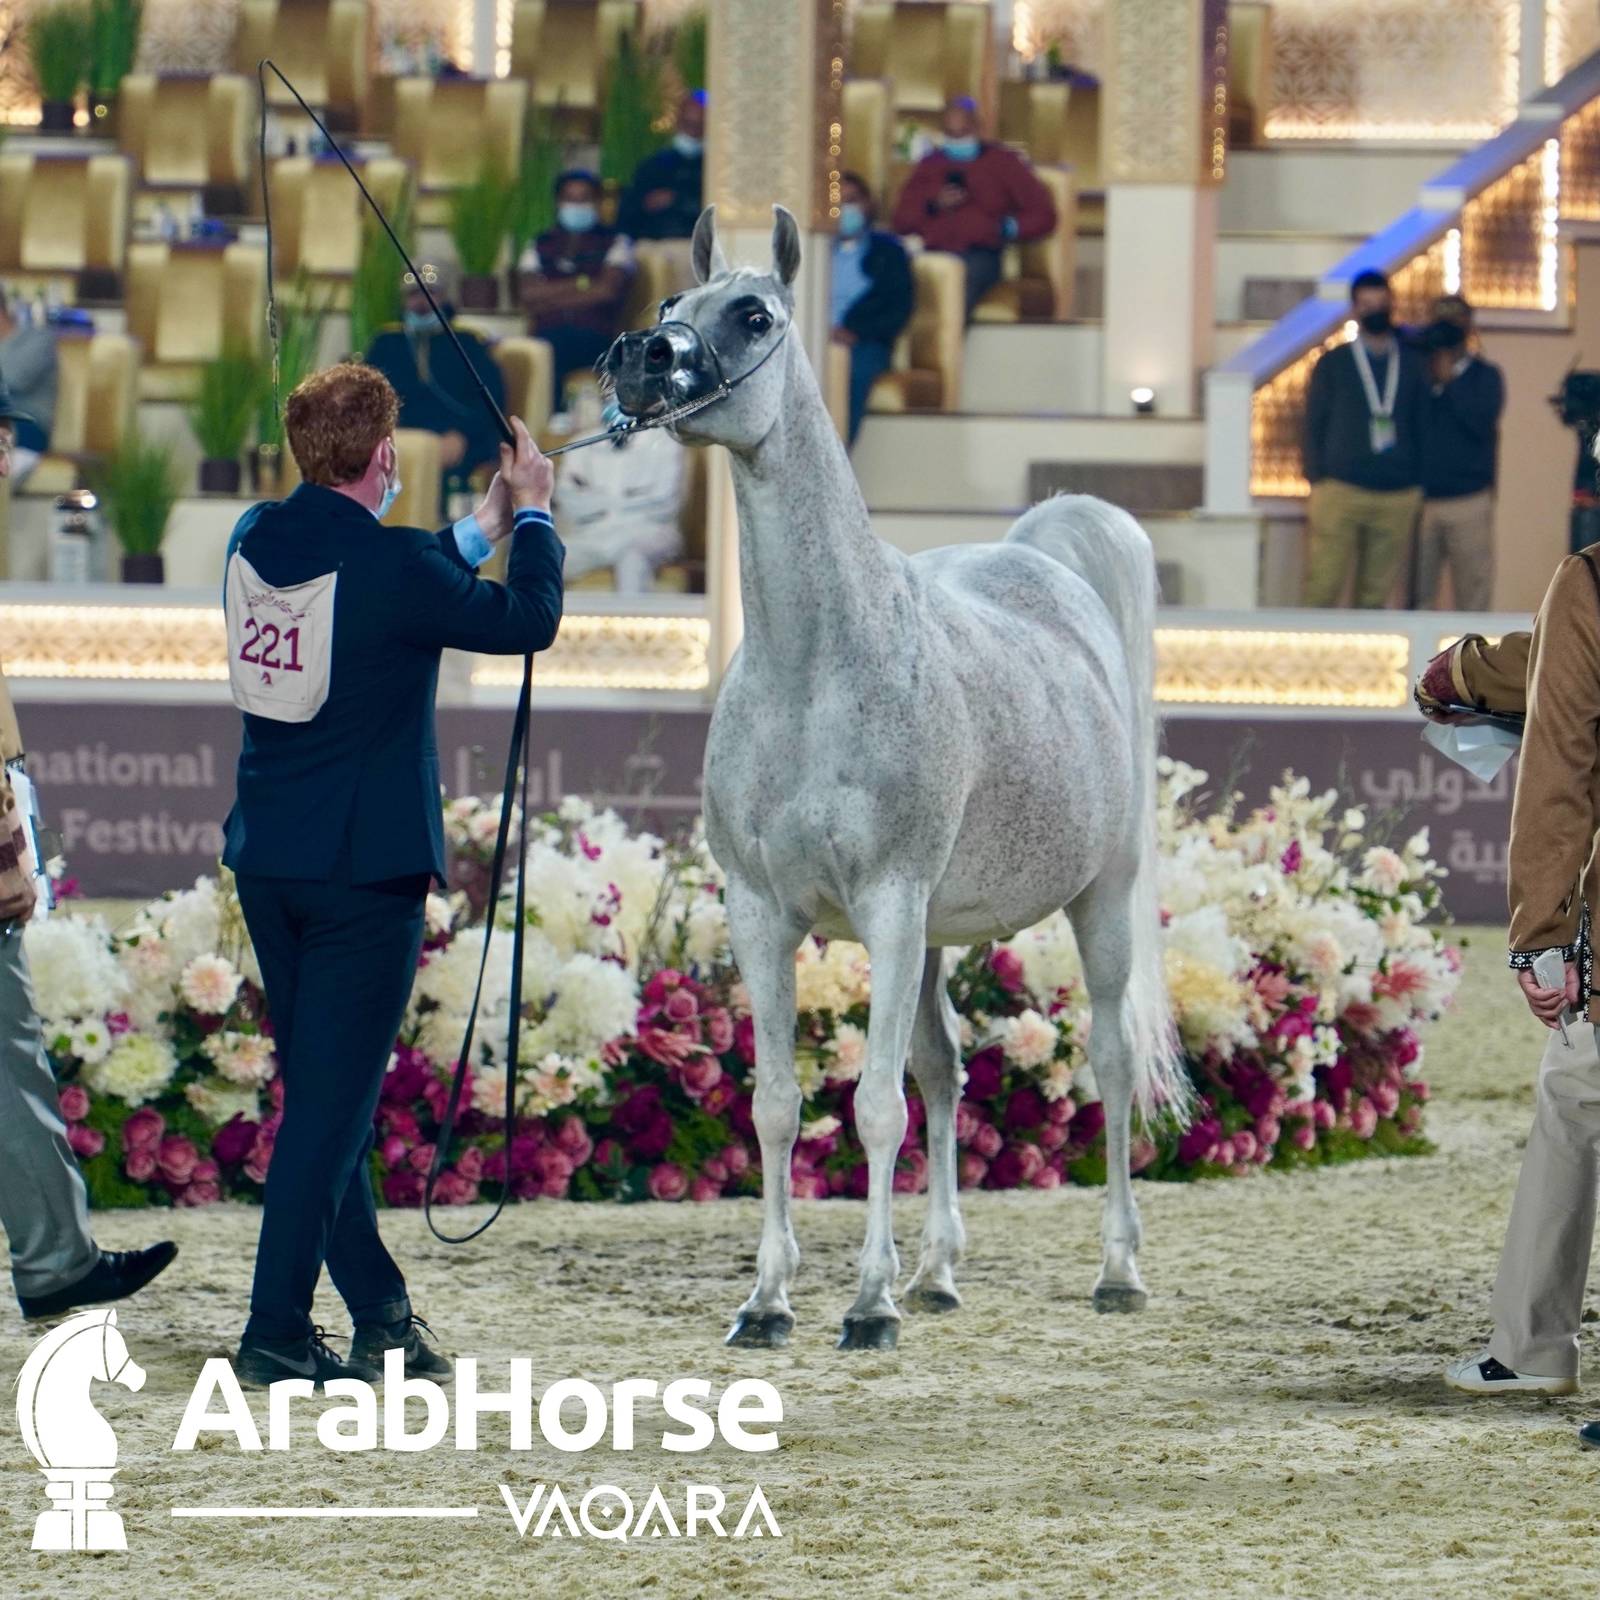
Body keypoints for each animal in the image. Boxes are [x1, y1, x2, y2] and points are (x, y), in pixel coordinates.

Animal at [605, 204, 1184, 1351]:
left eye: (754, 314)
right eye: (671, 304)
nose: (640, 362)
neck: (816, 669)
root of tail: (1041, 557)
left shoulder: (886, 905)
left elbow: (872, 1107)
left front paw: (866, 1305)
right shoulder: (761, 914)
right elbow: (778, 1106)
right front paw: (769, 1300)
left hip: (1092, 903)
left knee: (1104, 1063)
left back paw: (1118, 1271)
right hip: (935, 937)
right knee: (944, 1070)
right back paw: (940, 1273)